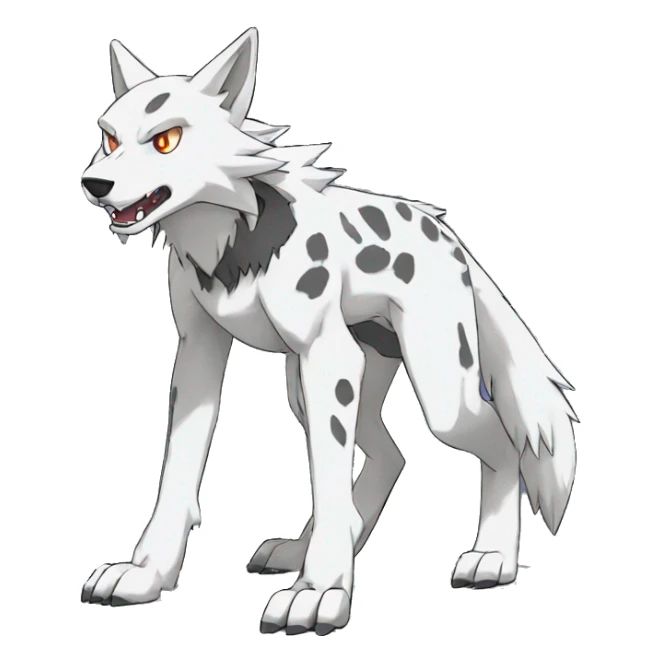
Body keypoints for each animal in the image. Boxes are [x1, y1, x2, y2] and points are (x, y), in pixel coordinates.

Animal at [80, 29, 578, 633]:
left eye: (167, 140)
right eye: (108, 139)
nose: (92, 183)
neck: (233, 243)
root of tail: (450, 236)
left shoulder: (329, 358)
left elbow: (327, 476)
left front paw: (319, 593)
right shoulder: (200, 351)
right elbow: (177, 472)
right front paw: (146, 574)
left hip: (437, 398)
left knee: (498, 444)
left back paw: (493, 557)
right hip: (316, 388)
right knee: (392, 457)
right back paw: (303, 548)